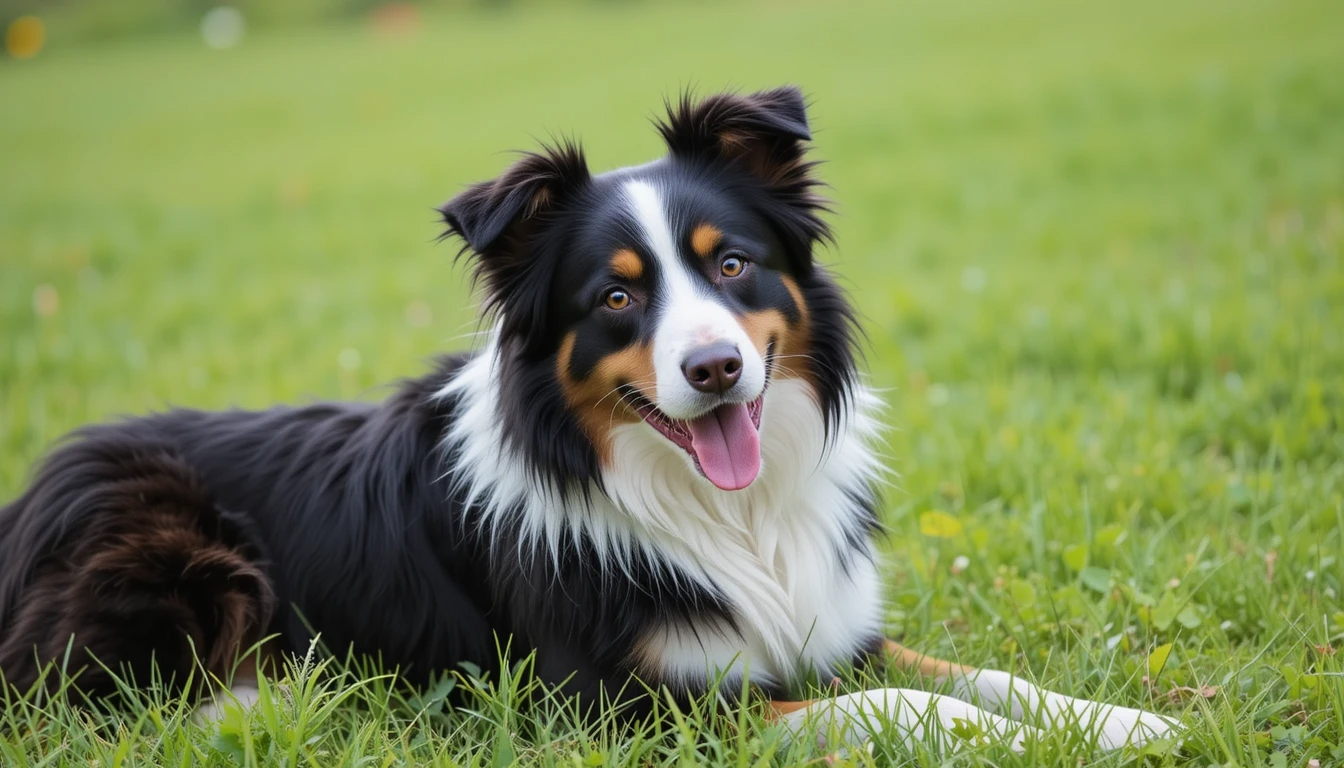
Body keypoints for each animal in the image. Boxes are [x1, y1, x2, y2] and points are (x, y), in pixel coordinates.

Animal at [0, 88, 1177, 753]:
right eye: (615, 297)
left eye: (731, 264)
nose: (714, 368)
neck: (721, 514)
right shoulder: (621, 708)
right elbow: (899, 706)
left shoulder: (829, 626)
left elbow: (976, 674)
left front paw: (1127, 722)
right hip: (162, 534)